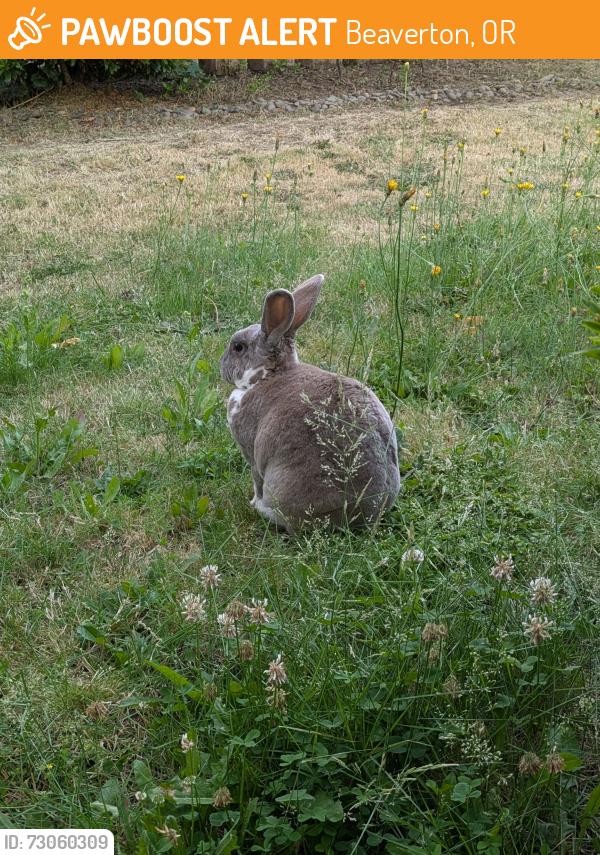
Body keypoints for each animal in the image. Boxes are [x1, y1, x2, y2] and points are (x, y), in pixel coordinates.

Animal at [220, 274, 400, 532]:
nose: (221, 366)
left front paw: (253, 501)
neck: (268, 375)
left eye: (238, 347)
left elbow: (256, 479)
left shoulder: (251, 453)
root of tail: (358, 515)